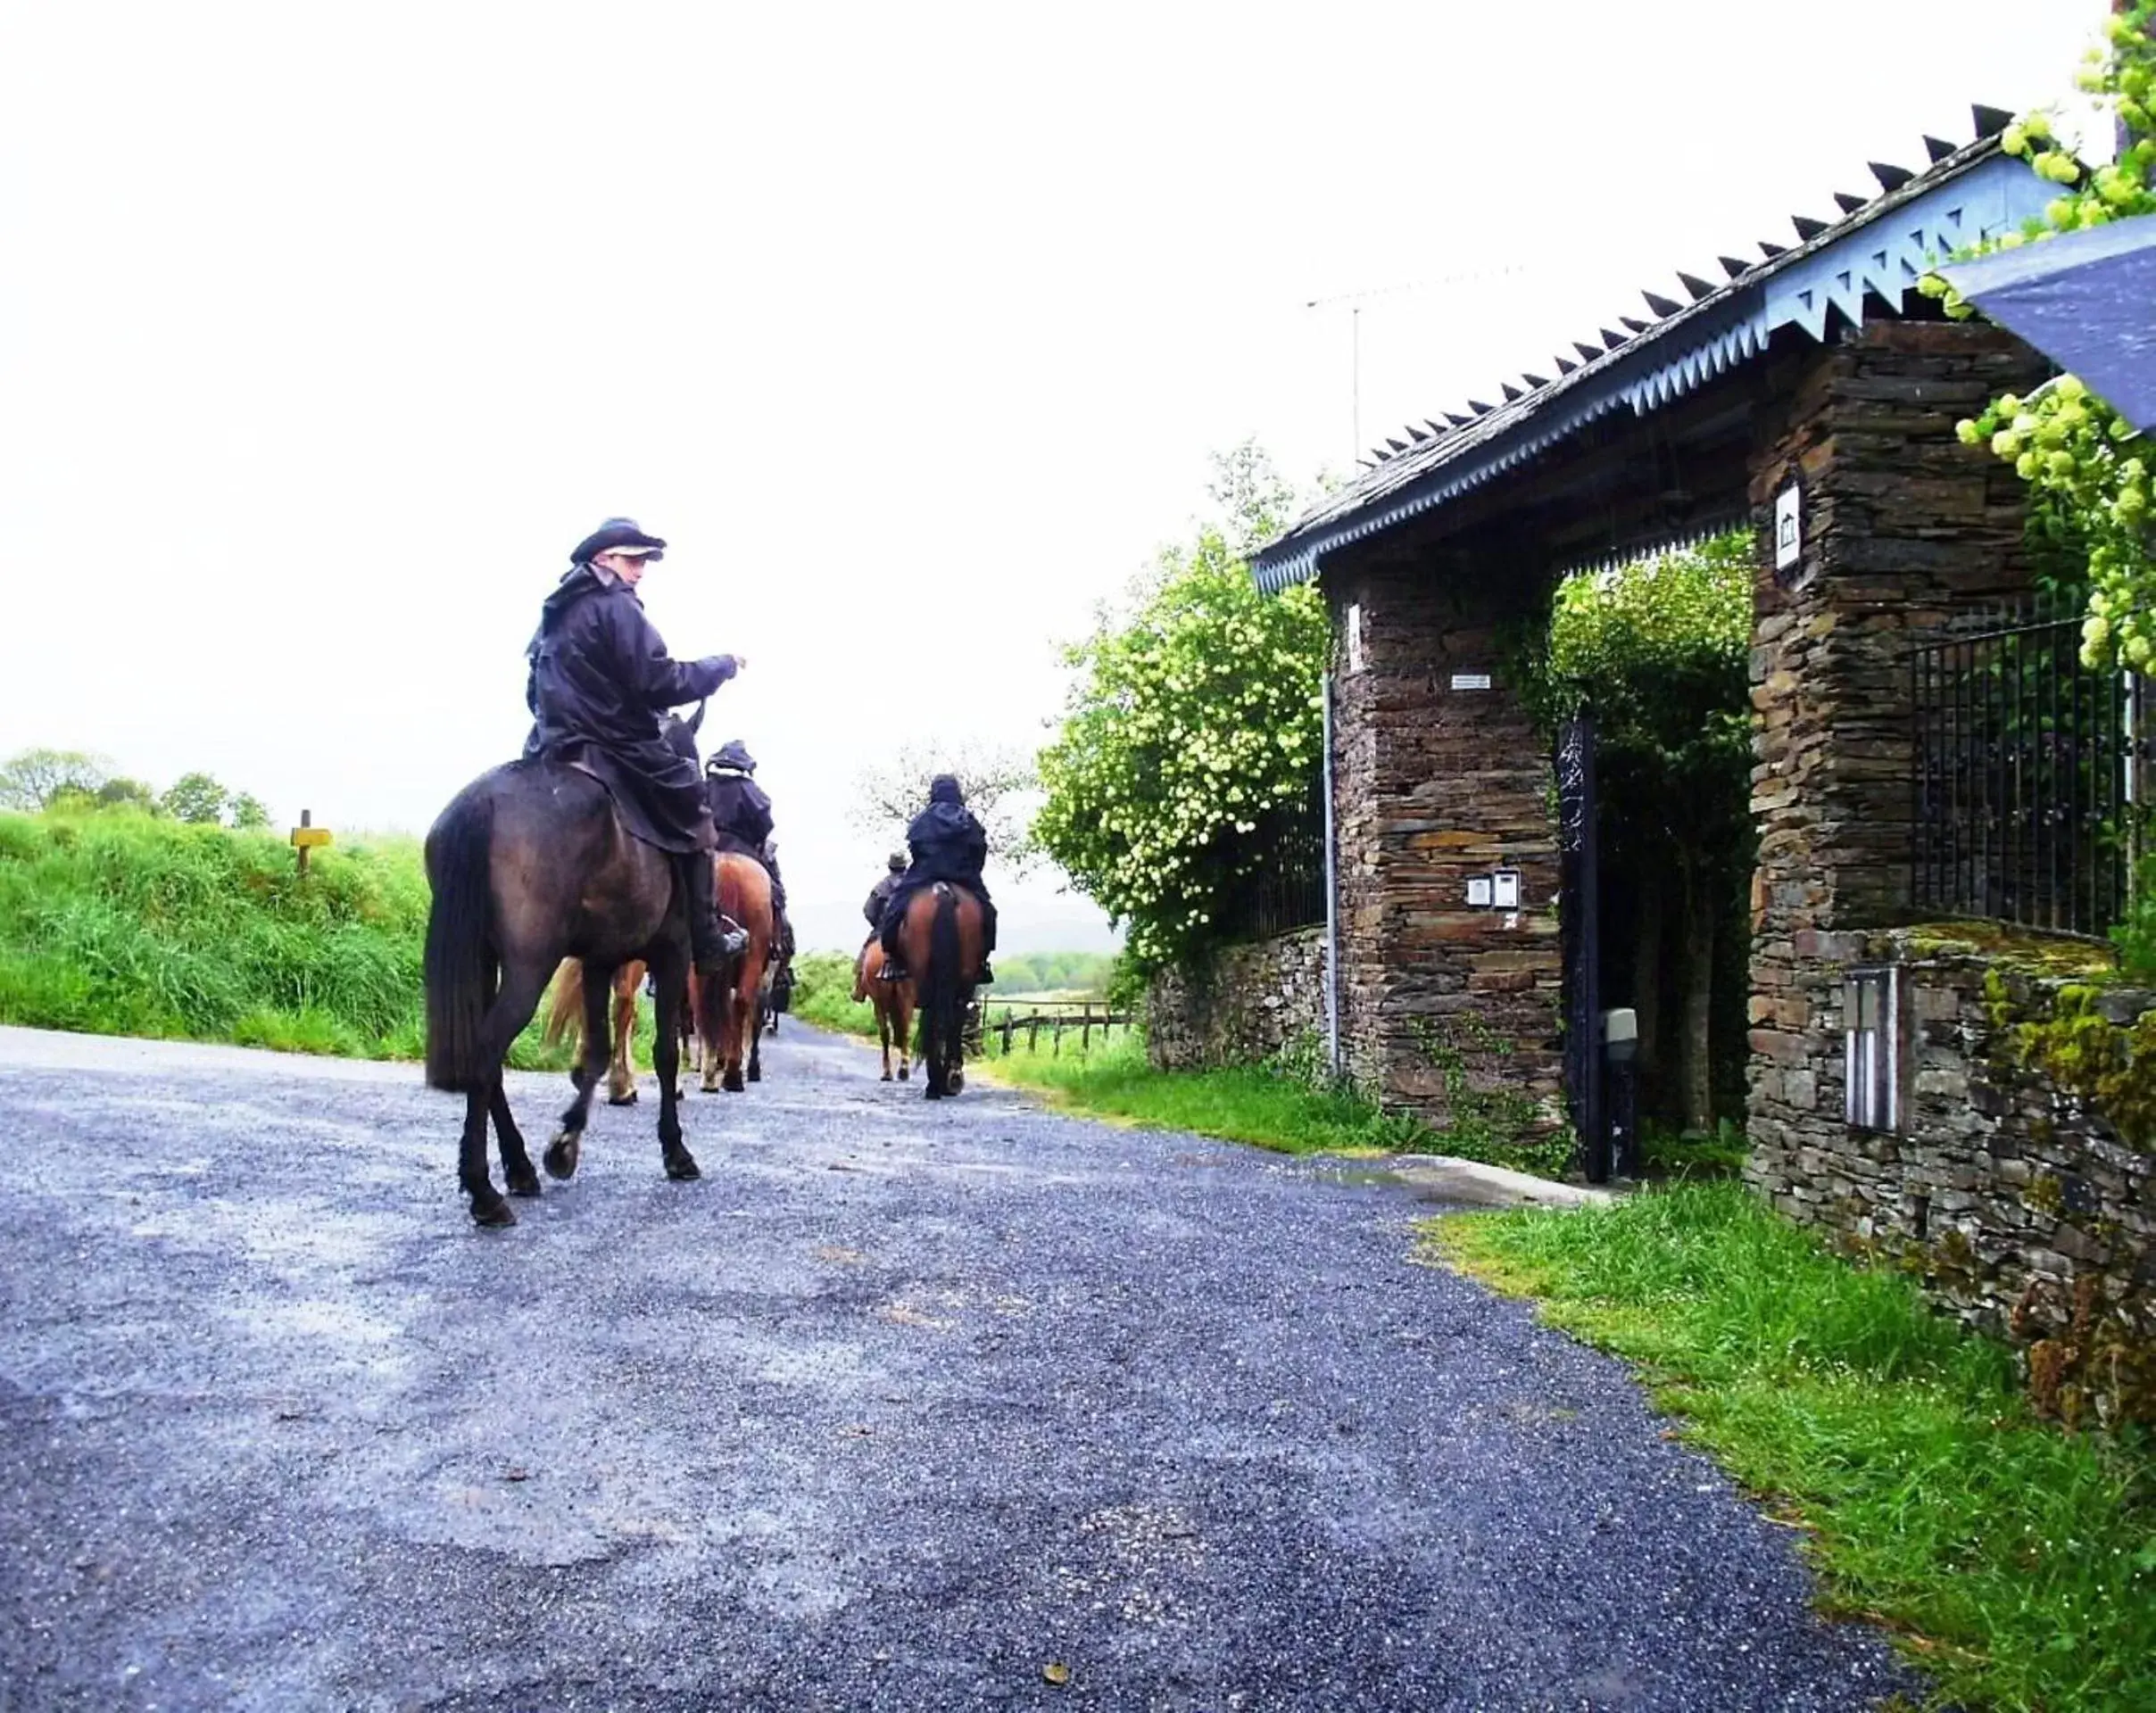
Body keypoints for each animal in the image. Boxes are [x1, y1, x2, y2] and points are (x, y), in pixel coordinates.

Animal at [427, 715, 707, 1223]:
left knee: (488, 1057)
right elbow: (664, 1055)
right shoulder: (672, 952)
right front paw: (676, 1152)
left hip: (484, 957)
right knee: (487, 1048)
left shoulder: (598, 960)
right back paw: (484, 1191)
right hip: (529, 965)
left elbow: (595, 1053)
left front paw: (565, 1145)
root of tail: (482, 801)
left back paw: (519, 1168)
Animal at [897, 883, 987, 1098]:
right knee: (951, 1020)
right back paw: (949, 1077)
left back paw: (937, 1083)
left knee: (937, 1019)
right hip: (964, 977)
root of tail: (944, 892)